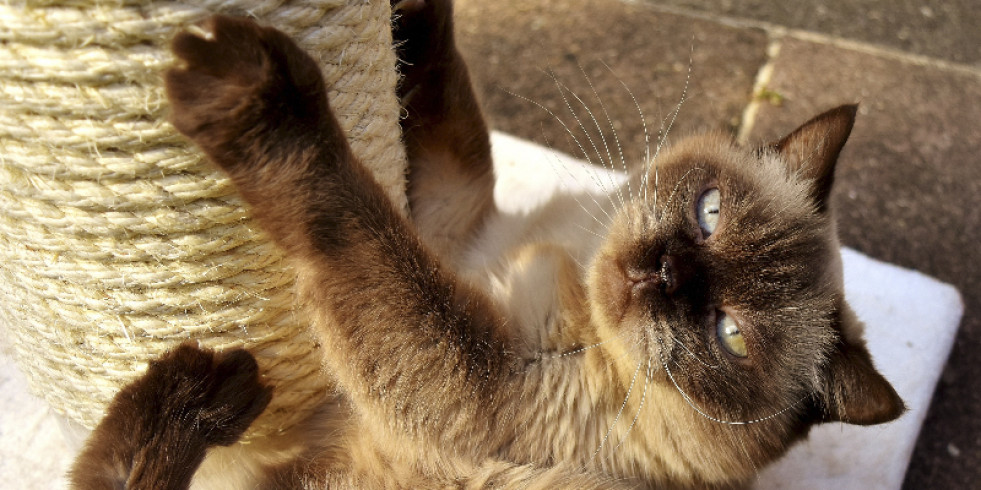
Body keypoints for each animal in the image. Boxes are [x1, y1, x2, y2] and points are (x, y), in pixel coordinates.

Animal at [69, 1, 904, 488]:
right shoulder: (451, 221)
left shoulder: (479, 379)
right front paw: (409, 10)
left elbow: (353, 217)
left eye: (728, 335)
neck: (567, 259)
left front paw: (258, 96)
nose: (661, 270)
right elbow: (445, 106)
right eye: (709, 214)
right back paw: (199, 397)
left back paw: (210, 392)